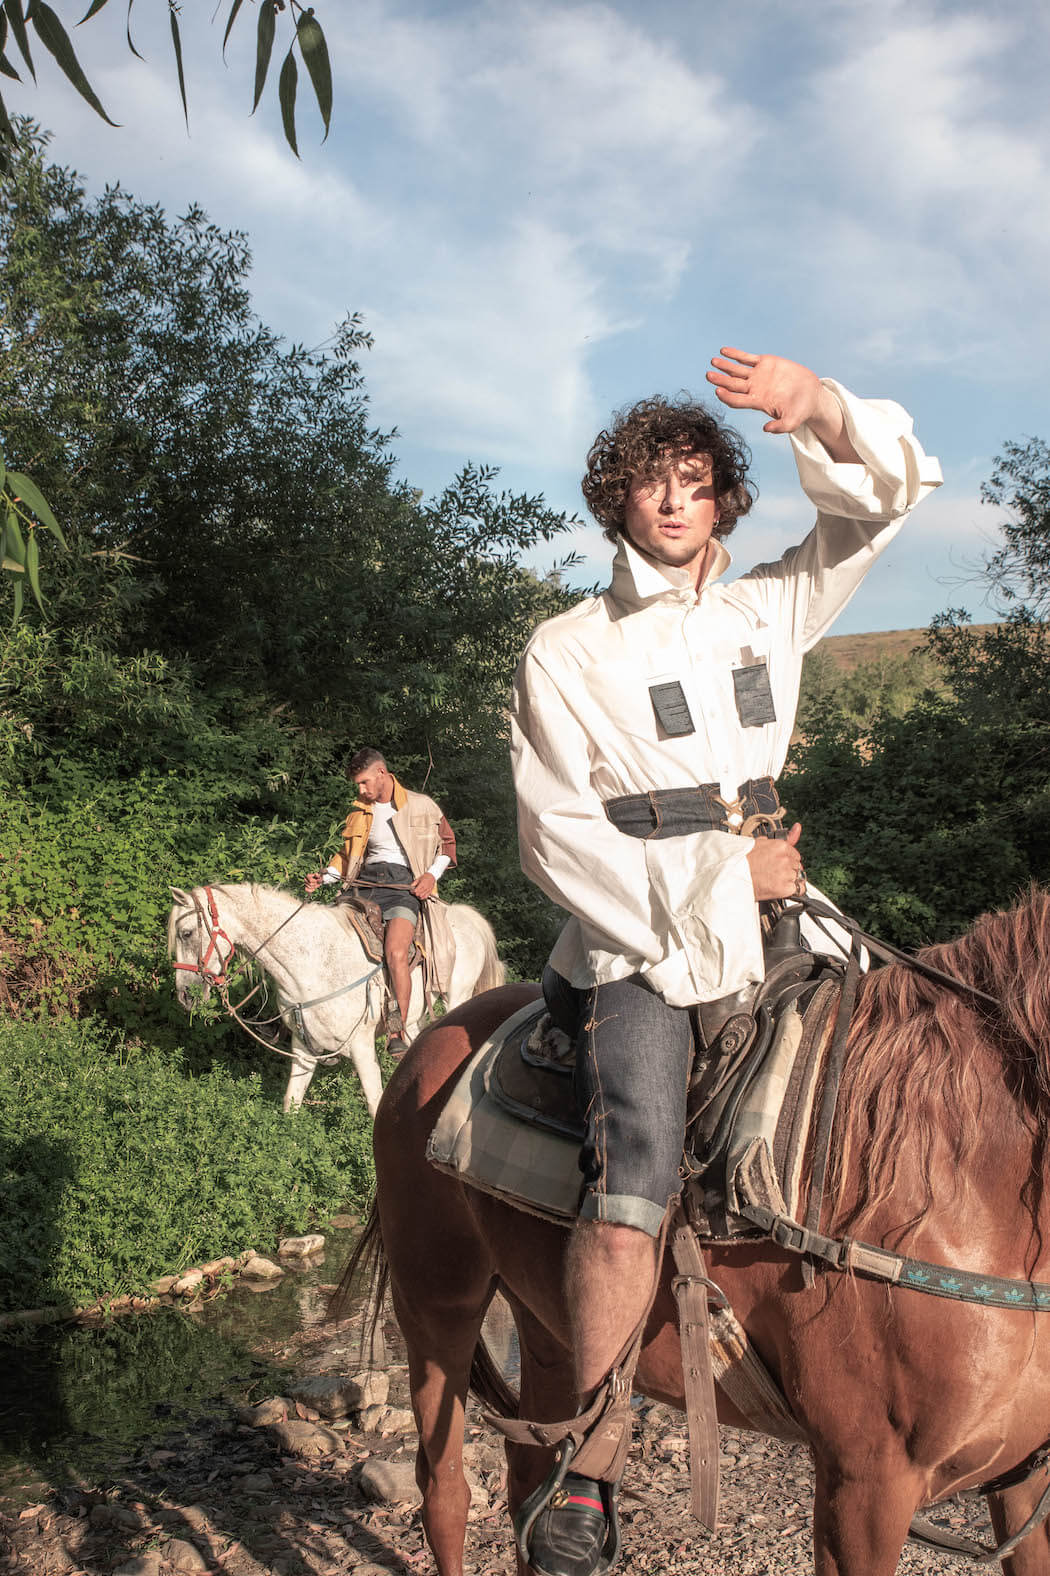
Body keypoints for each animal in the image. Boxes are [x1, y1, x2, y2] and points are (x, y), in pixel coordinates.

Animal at [167, 883, 504, 1116]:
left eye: (186, 933)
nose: (184, 995)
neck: (311, 962)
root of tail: (468, 916)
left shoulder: (362, 1046)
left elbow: (374, 1103)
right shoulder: (302, 1047)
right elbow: (292, 1102)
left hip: (458, 1000)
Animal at [332, 887, 1050, 1575]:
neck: (955, 1183)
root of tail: (429, 1040)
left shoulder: (1022, 1479)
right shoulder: (865, 1482)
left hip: (544, 1327)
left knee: (531, 1480)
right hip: (436, 1308)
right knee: (445, 1493)